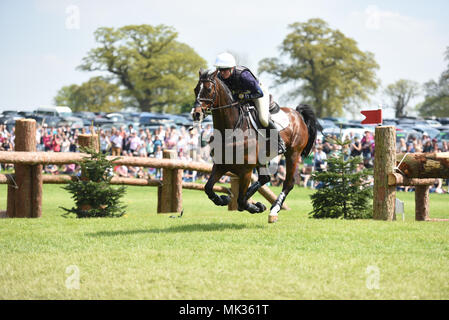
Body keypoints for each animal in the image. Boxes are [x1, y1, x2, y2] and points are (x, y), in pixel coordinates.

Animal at [191, 69, 320, 222]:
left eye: (209, 89)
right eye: (195, 89)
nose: (196, 114)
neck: (232, 129)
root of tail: (297, 115)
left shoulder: (246, 171)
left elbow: (240, 200)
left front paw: (255, 207)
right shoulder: (221, 165)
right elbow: (208, 188)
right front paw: (223, 199)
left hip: (293, 154)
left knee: (288, 183)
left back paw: (274, 210)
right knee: (265, 179)